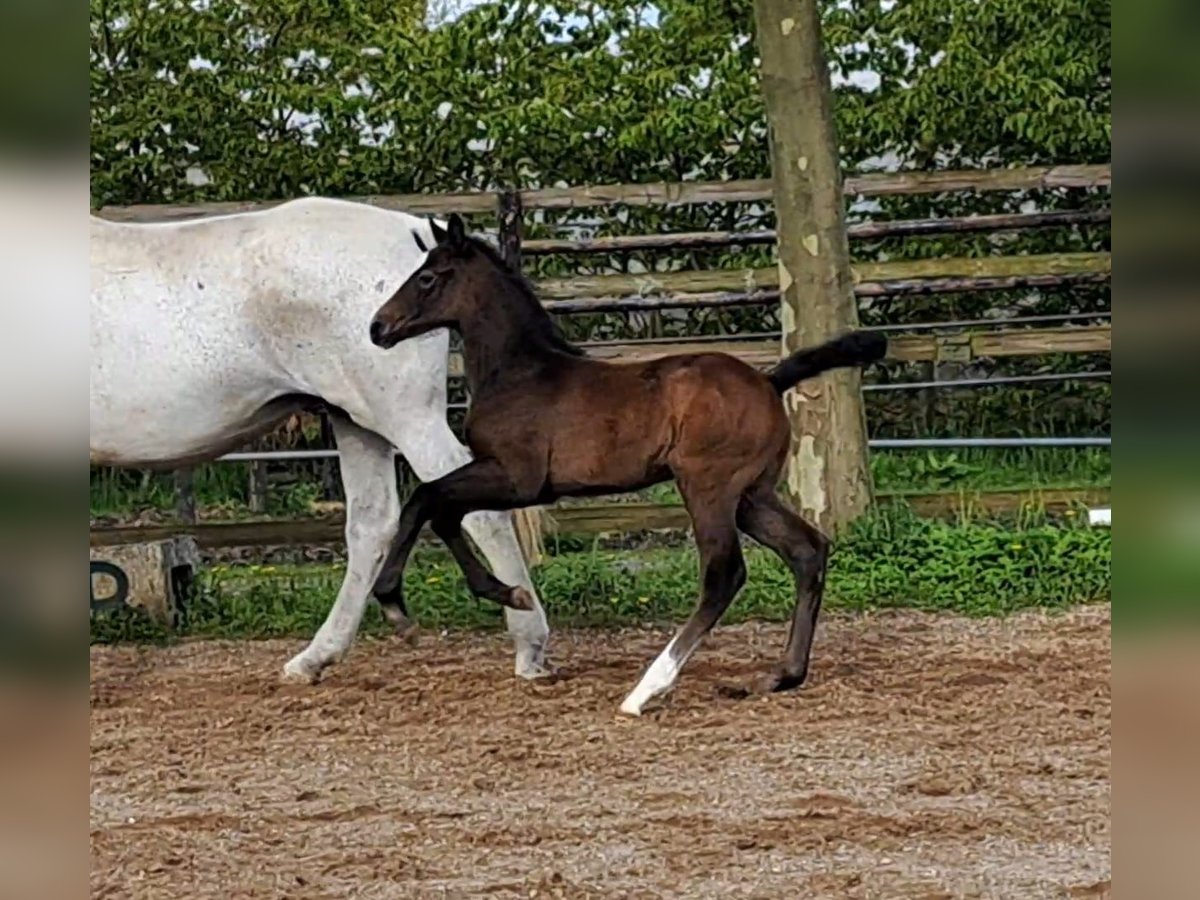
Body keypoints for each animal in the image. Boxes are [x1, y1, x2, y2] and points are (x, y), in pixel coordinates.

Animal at [92, 194, 552, 681]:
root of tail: (415, 231)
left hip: (406, 417)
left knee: (478, 512)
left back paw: (529, 643)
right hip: (355, 421)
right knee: (372, 525)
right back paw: (316, 657)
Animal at [369, 214, 888, 715]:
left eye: (428, 277)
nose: (378, 327)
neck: (519, 372)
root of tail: (769, 380)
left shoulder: (518, 479)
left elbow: (427, 499)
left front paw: (399, 606)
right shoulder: (502, 477)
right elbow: (441, 511)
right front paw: (505, 592)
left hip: (708, 487)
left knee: (724, 573)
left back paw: (645, 692)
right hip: (752, 496)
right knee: (807, 550)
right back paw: (782, 676)